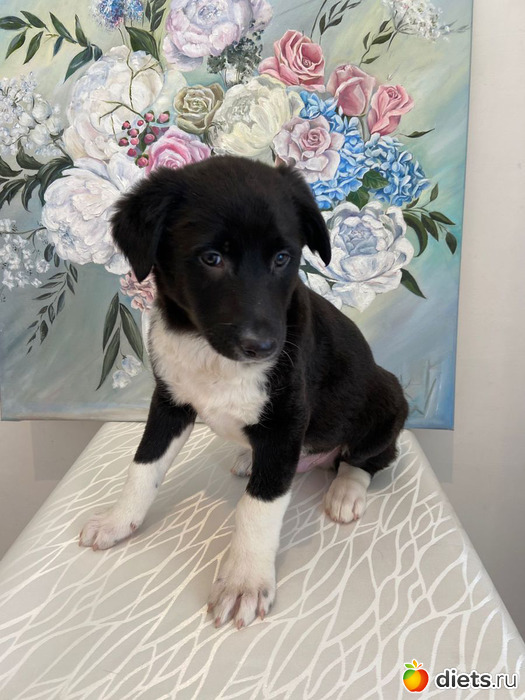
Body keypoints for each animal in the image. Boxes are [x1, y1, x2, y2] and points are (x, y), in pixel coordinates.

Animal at [80, 155, 408, 629]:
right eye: (211, 258)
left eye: (283, 258)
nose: (264, 347)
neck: (206, 349)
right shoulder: (169, 403)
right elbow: (143, 467)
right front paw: (118, 520)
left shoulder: (287, 421)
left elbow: (259, 507)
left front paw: (244, 581)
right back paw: (250, 458)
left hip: (388, 398)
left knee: (369, 457)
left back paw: (346, 490)